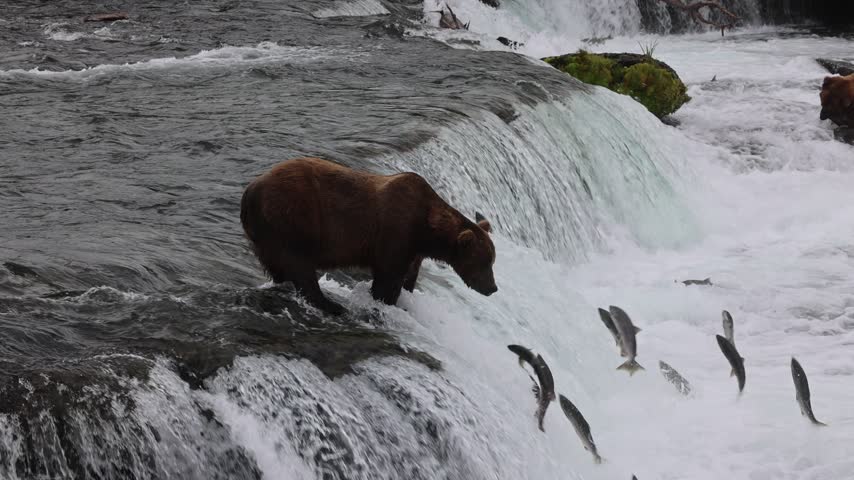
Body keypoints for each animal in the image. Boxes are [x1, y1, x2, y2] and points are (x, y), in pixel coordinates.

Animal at [240, 157, 497, 314]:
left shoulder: (414, 249)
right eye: (484, 262)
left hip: (266, 231)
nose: (493, 288)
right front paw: (386, 301)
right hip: (294, 216)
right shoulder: (396, 231)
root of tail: (250, 190)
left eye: (492, 261)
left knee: (278, 265)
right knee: (299, 264)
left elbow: (408, 276)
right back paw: (332, 305)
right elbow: (388, 277)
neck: (426, 231)